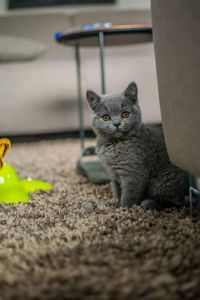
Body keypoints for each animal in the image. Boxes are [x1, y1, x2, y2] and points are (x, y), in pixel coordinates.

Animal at [86, 81, 188, 210]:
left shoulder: (134, 173)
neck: (114, 144)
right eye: (106, 117)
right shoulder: (114, 175)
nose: (117, 123)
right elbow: (117, 191)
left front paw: (124, 209)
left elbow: (129, 196)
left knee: (173, 201)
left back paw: (149, 203)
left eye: (125, 114)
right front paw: (116, 203)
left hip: (166, 182)